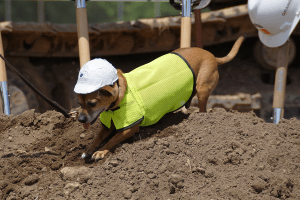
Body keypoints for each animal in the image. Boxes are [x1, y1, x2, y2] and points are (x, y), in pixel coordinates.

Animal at [75, 35, 246, 160]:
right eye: (79, 102)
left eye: (92, 103)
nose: (80, 119)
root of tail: (211, 55)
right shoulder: (108, 126)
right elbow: (97, 138)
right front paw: (89, 149)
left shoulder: (130, 128)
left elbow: (112, 139)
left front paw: (102, 151)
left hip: (202, 88)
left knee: (203, 109)